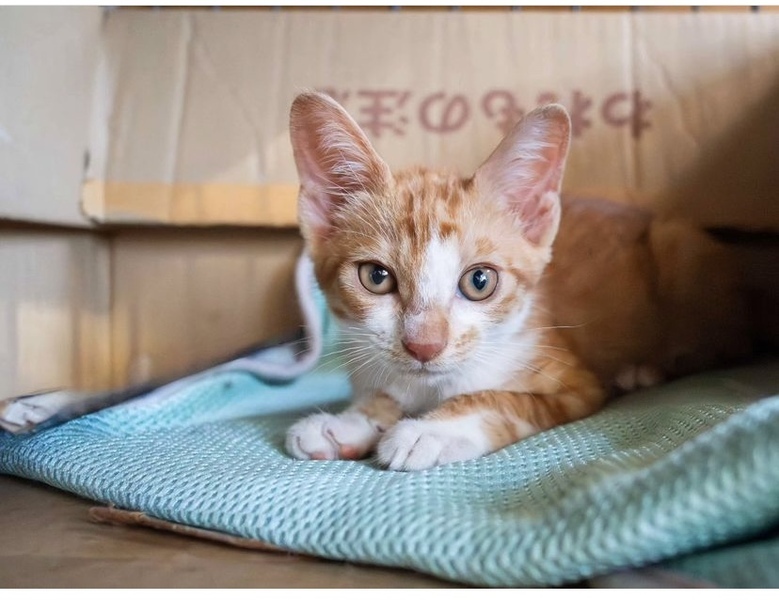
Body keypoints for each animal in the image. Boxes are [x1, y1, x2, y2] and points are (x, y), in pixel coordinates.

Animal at [284, 91, 752, 471]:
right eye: (377, 277)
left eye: (479, 281)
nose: (424, 345)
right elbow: (382, 396)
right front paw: (348, 422)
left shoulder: (574, 385)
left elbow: (498, 398)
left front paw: (430, 431)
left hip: (677, 246)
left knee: (725, 346)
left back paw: (645, 371)